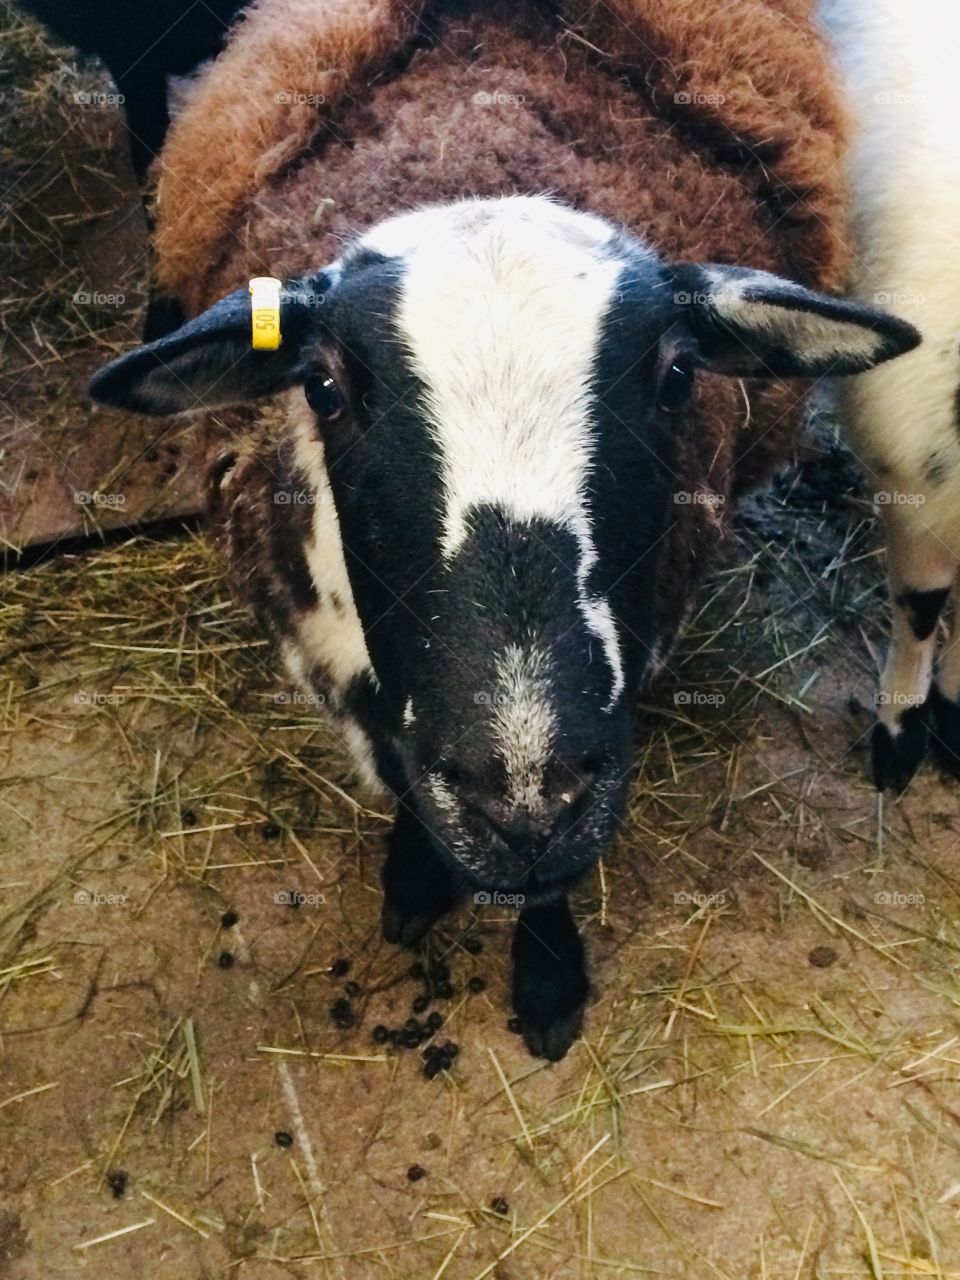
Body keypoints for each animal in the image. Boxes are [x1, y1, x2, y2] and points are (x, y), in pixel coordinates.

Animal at [88, 0, 919, 1060]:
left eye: (676, 376)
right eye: (324, 388)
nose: (523, 793)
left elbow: (550, 883)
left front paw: (550, 978)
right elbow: (407, 788)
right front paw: (413, 883)